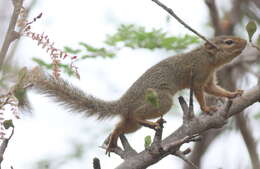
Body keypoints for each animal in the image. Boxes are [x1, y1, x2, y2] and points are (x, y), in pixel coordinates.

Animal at [25, 35, 247, 153]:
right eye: (228, 42)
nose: (244, 42)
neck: (208, 59)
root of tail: (124, 103)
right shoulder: (199, 77)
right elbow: (201, 94)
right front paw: (207, 109)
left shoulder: (209, 80)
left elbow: (215, 90)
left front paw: (233, 94)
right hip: (162, 100)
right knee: (137, 116)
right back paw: (149, 123)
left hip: (132, 122)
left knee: (122, 125)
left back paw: (113, 139)